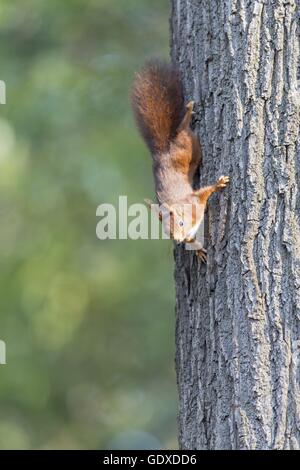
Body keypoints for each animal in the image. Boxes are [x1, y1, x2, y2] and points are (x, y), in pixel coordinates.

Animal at [130, 59, 229, 260]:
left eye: (181, 223)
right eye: (166, 232)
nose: (177, 239)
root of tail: (163, 151)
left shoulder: (195, 201)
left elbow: (205, 192)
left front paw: (219, 183)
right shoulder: (189, 233)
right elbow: (192, 241)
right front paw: (198, 250)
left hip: (189, 148)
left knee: (183, 128)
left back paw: (189, 110)